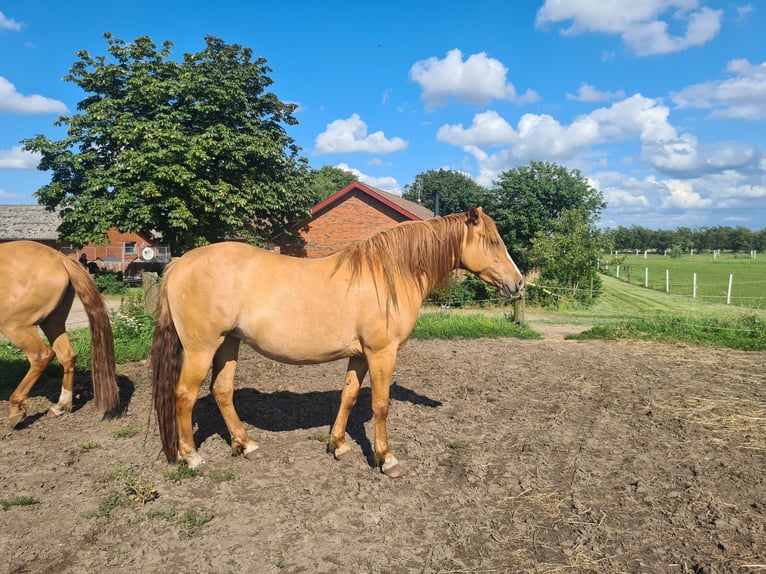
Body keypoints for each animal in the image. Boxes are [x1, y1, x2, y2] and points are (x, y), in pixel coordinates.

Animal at [0, 240, 120, 426]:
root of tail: (59, 258)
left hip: (15, 326)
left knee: (41, 356)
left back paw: (16, 410)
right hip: (53, 322)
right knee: (67, 356)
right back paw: (61, 405)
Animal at [151, 207, 524, 477]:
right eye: (492, 242)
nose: (518, 283)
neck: (388, 275)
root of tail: (179, 263)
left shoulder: (359, 355)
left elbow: (348, 396)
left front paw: (338, 445)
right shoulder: (381, 353)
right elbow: (380, 405)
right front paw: (385, 459)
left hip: (228, 344)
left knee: (222, 391)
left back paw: (246, 445)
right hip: (202, 348)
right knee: (184, 395)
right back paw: (191, 457)